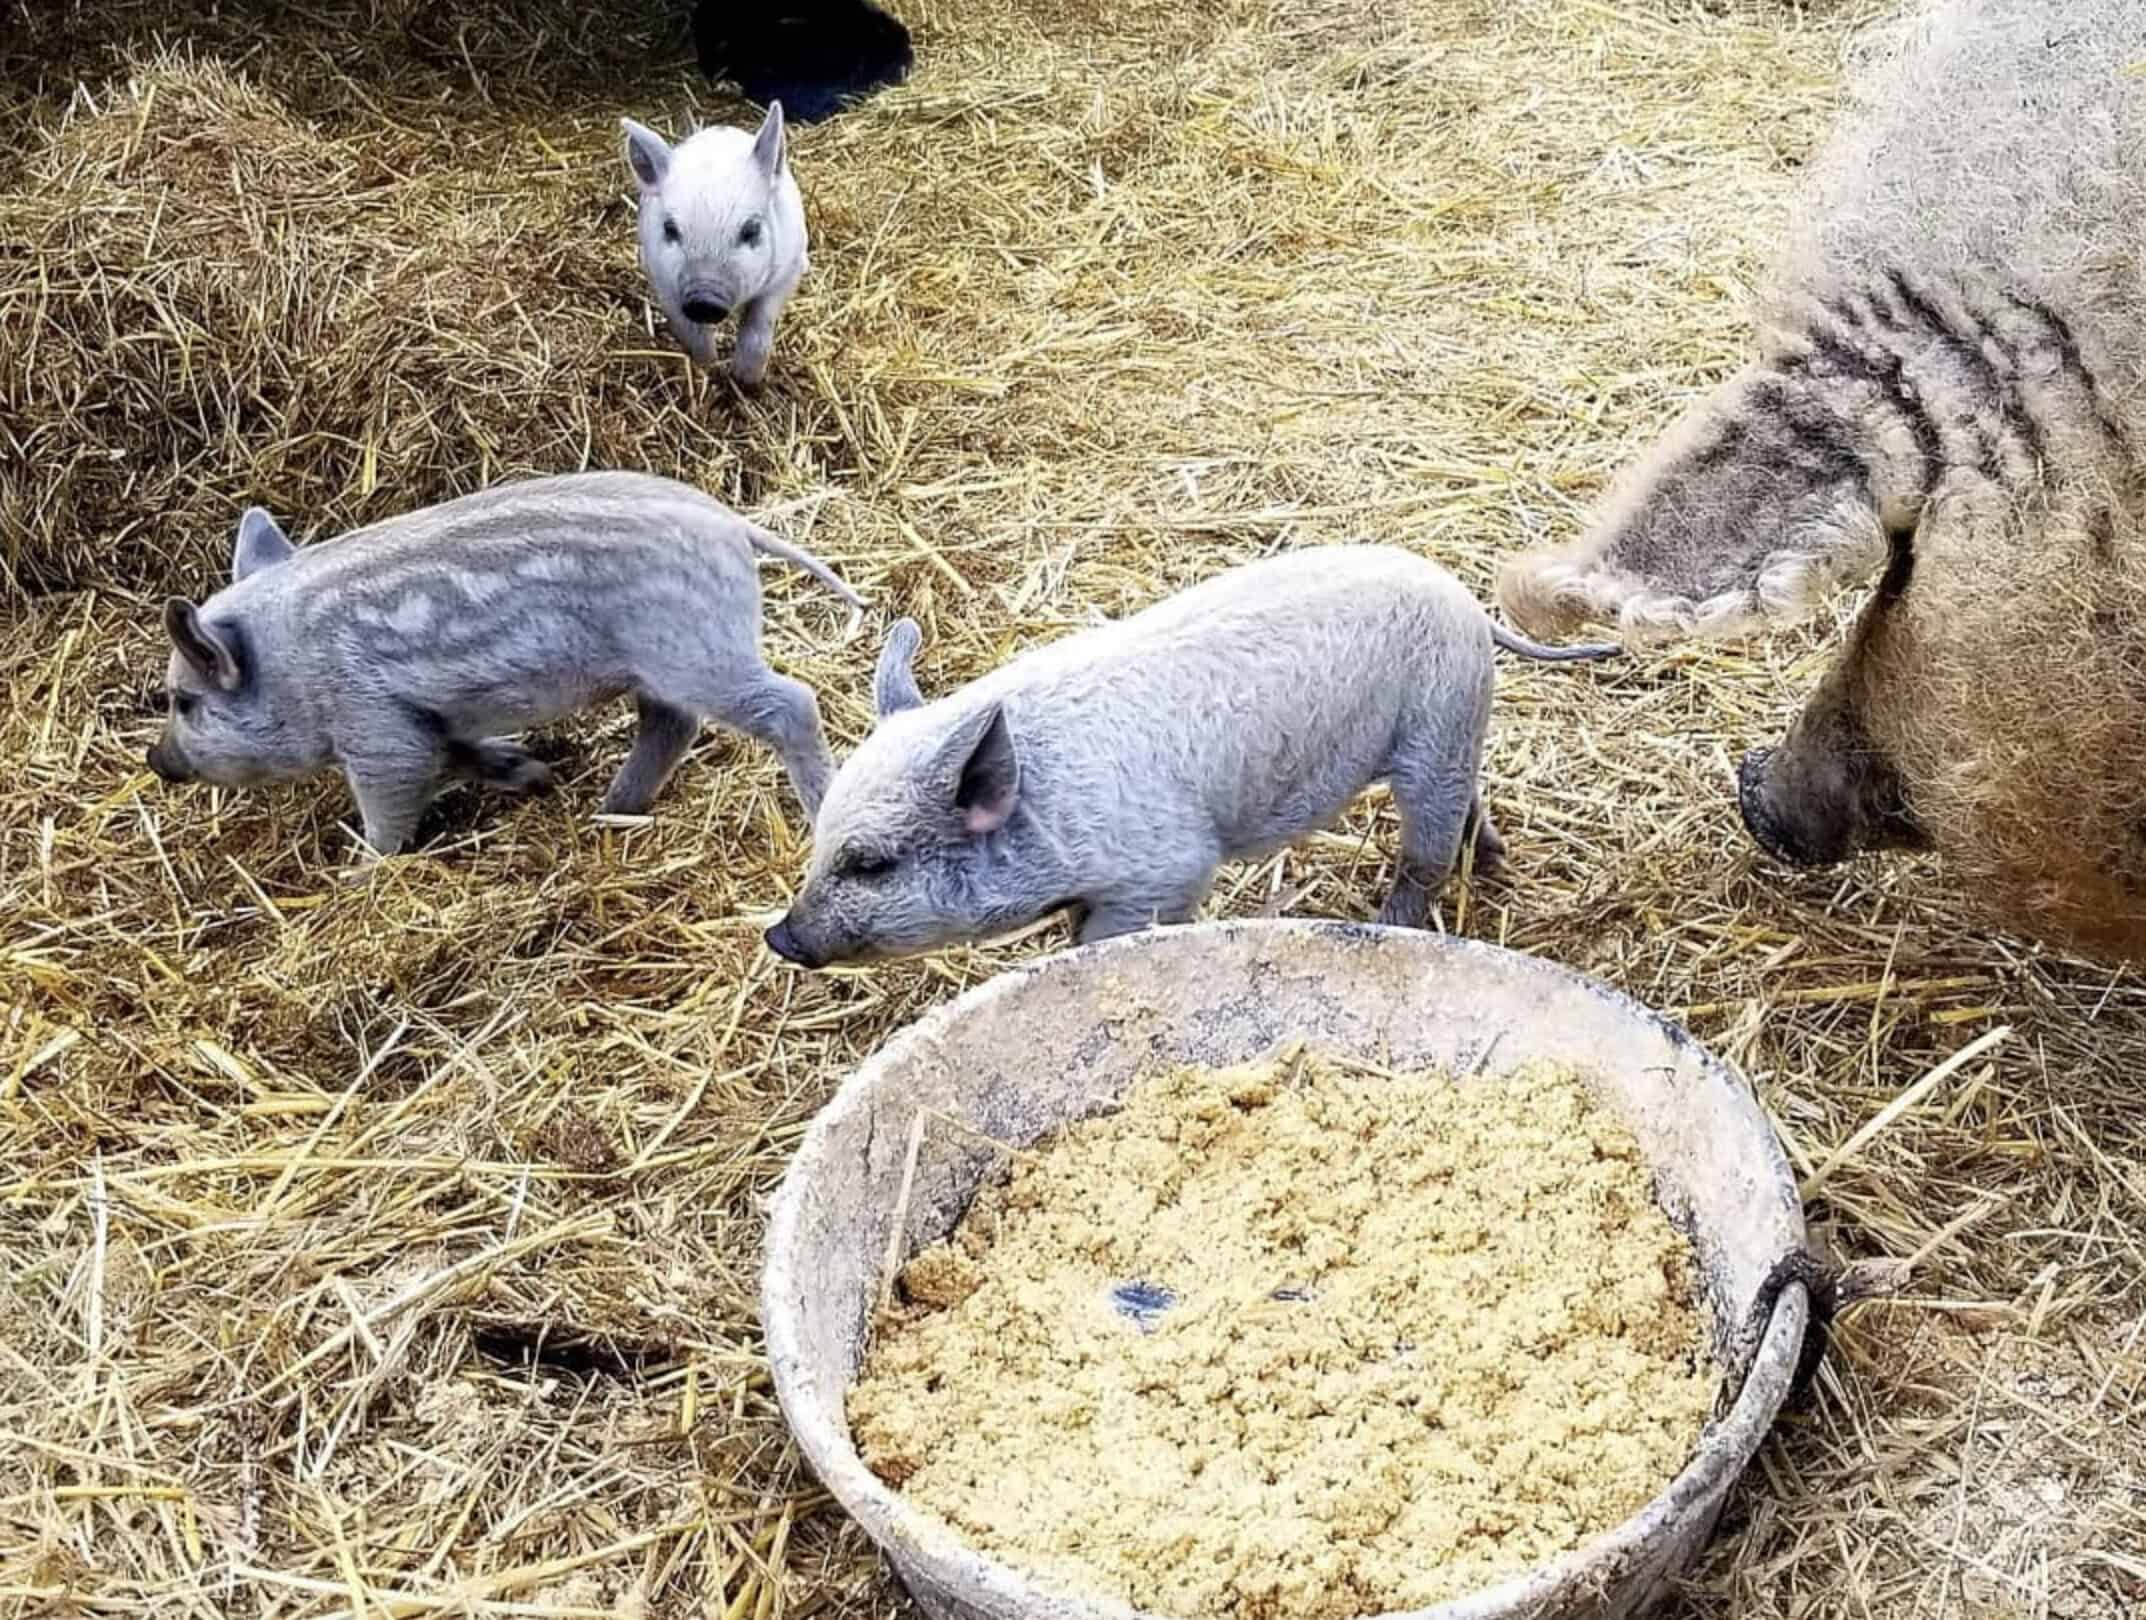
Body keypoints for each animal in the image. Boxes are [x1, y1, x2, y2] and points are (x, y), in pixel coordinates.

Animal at [147, 470, 863, 861]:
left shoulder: (375, 727)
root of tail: (733, 524)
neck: (293, 667)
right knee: (670, 726)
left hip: (696, 651)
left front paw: (358, 869)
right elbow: (465, 755)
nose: (158, 761)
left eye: (186, 702)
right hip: (660, 667)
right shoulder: (429, 722)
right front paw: (535, 774)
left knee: (788, 703)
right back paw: (607, 810)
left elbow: (391, 803)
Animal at [622, 103, 806, 387]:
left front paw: (745, 379)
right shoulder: (658, 276)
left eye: (751, 230)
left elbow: (760, 325)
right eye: (670, 228)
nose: (705, 299)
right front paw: (709, 368)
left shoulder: (790, 269)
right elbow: (691, 331)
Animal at [763, 546, 1618, 967]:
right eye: (821, 845)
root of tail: (1463, 595)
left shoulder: (1169, 867)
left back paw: (1387, 922)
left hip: (1433, 731)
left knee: (1427, 856)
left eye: (872, 864)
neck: (1052, 811)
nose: (781, 937)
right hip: (1449, 733)